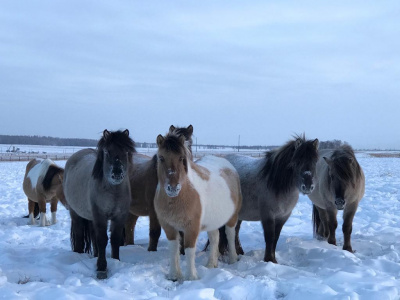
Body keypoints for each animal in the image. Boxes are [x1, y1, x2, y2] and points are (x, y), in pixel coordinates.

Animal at [63, 129, 135, 278]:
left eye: (126, 151)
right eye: (107, 151)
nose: (117, 173)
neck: (114, 192)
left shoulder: (119, 217)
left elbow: (114, 239)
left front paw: (116, 260)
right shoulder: (100, 216)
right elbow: (102, 239)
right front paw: (102, 267)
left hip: (91, 217)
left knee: (93, 236)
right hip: (75, 213)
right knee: (79, 233)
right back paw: (78, 256)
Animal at [124, 123, 195, 252]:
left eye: (190, 143)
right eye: (161, 158)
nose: (173, 187)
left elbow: (182, 233)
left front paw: (183, 252)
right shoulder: (154, 211)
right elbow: (154, 232)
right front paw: (151, 250)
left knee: (129, 226)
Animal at [154, 131, 241, 282]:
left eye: (181, 158)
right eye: (161, 157)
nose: (173, 188)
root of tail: (229, 167)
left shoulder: (192, 228)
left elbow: (189, 250)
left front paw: (191, 277)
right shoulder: (169, 227)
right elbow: (173, 249)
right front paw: (174, 275)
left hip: (232, 218)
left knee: (230, 235)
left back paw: (232, 259)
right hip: (213, 221)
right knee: (214, 237)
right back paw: (211, 264)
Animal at [220, 134, 318, 262]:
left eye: (315, 161)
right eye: (297, 161)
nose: (307, 186)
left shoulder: (283, 217)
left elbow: (276, 238)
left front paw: (273, 259)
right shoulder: (268, 215)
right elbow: (270, 237)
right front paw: (269, 259)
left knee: (235, 231)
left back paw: (239, 252)